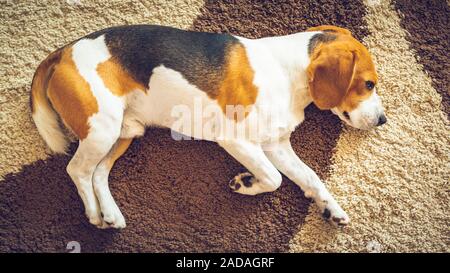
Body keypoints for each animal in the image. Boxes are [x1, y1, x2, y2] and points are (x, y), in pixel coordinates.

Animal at [29, 23, 386, 227]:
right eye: (368, 84)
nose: (383, 120)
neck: (287, 71)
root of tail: (63, 52)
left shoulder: (276, 144)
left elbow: (310, 177)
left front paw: (331, 208)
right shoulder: (235, 140)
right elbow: (273, 179)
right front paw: (246, 183)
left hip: (123, 133)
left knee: (98, 173)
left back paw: (111, 215)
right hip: (101, 130)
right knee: (77, 170)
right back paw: (92, 213)